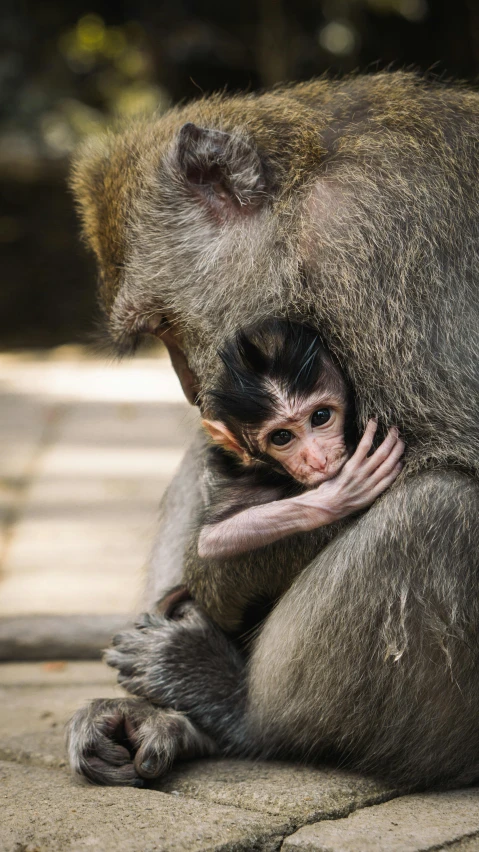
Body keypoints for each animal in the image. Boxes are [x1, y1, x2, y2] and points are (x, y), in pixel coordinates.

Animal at [199, 320, 404, 560]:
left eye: (321, 416)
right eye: (281, 437)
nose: (318, 461)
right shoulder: (255, 478)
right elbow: (214, 537)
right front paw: (340, 494)